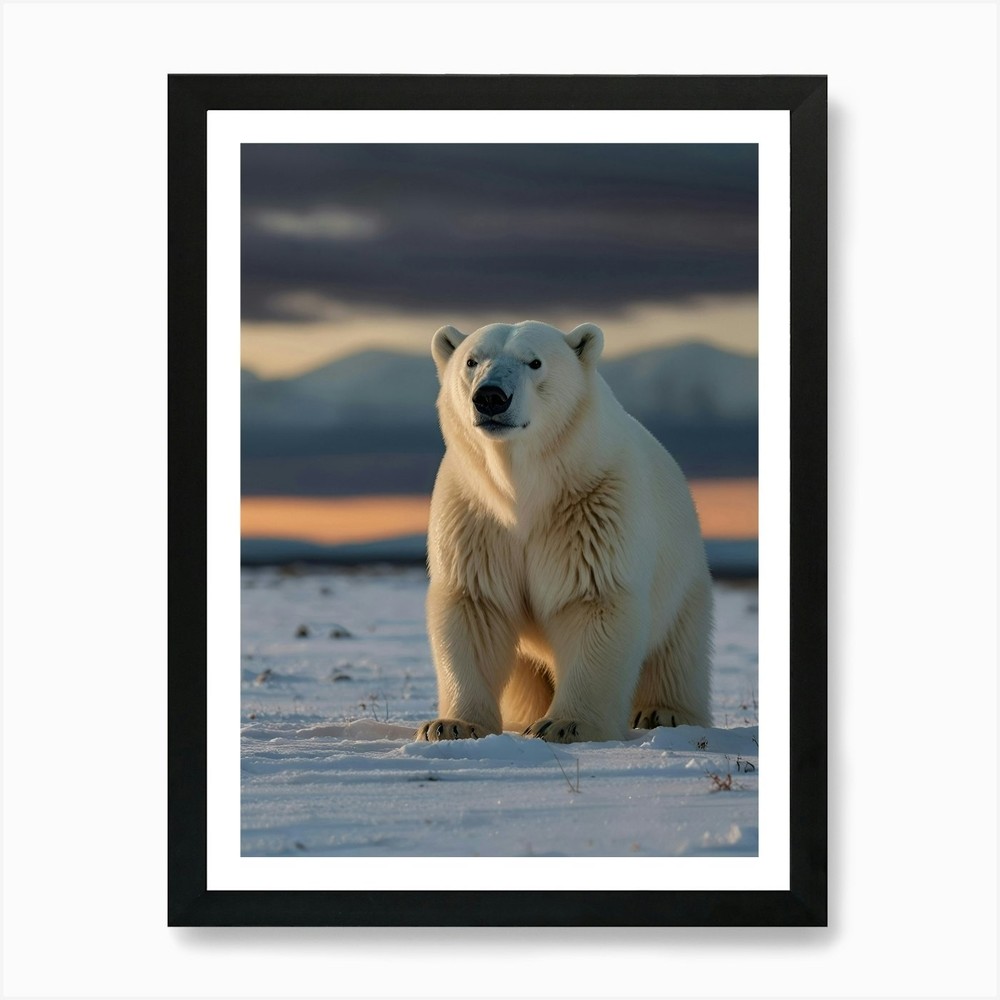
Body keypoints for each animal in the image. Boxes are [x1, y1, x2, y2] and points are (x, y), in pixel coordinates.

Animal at [415, 320, 713, 744]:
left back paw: (663, 712)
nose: (491, 397)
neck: (526, 493)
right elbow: (474, 605)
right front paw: (452, 725)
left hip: (682, 581)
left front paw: (565, 724)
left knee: (678, 651)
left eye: (535, 362)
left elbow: (593, 599)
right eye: (472, 360)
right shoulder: (475, 518)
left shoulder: (593, 508)